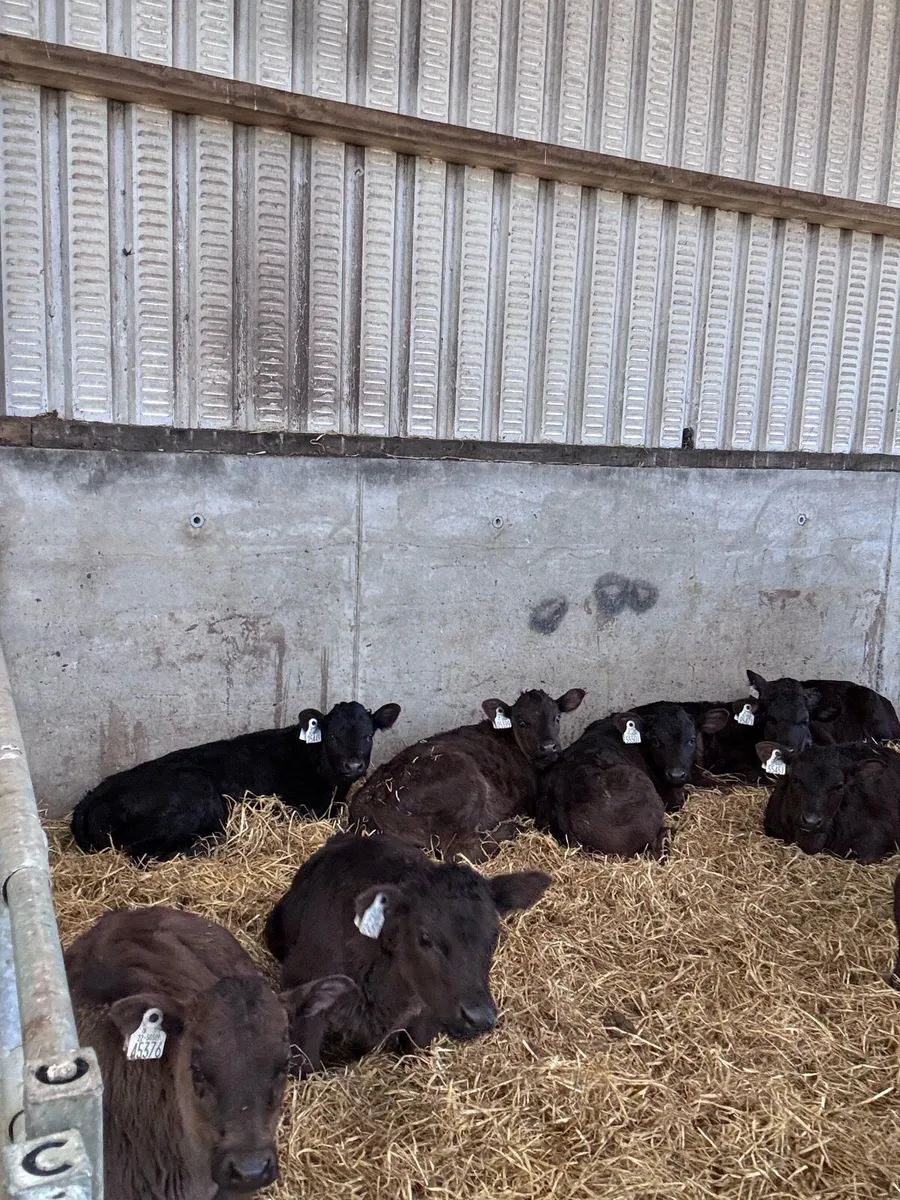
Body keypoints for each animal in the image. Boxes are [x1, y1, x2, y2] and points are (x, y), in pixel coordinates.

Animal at [71, 700, 401, 861]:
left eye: (369, 736)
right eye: (332, 736)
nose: (354, 765)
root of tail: (89, 800)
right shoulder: (303, 810)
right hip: (197, 795)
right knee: (142, 854)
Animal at [347, 688, 585, 861]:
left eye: (557, 717)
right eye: (522, 722)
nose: (548, 747)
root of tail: (365, 805)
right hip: (466, 778)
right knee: (459, 851)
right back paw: (511, 829)